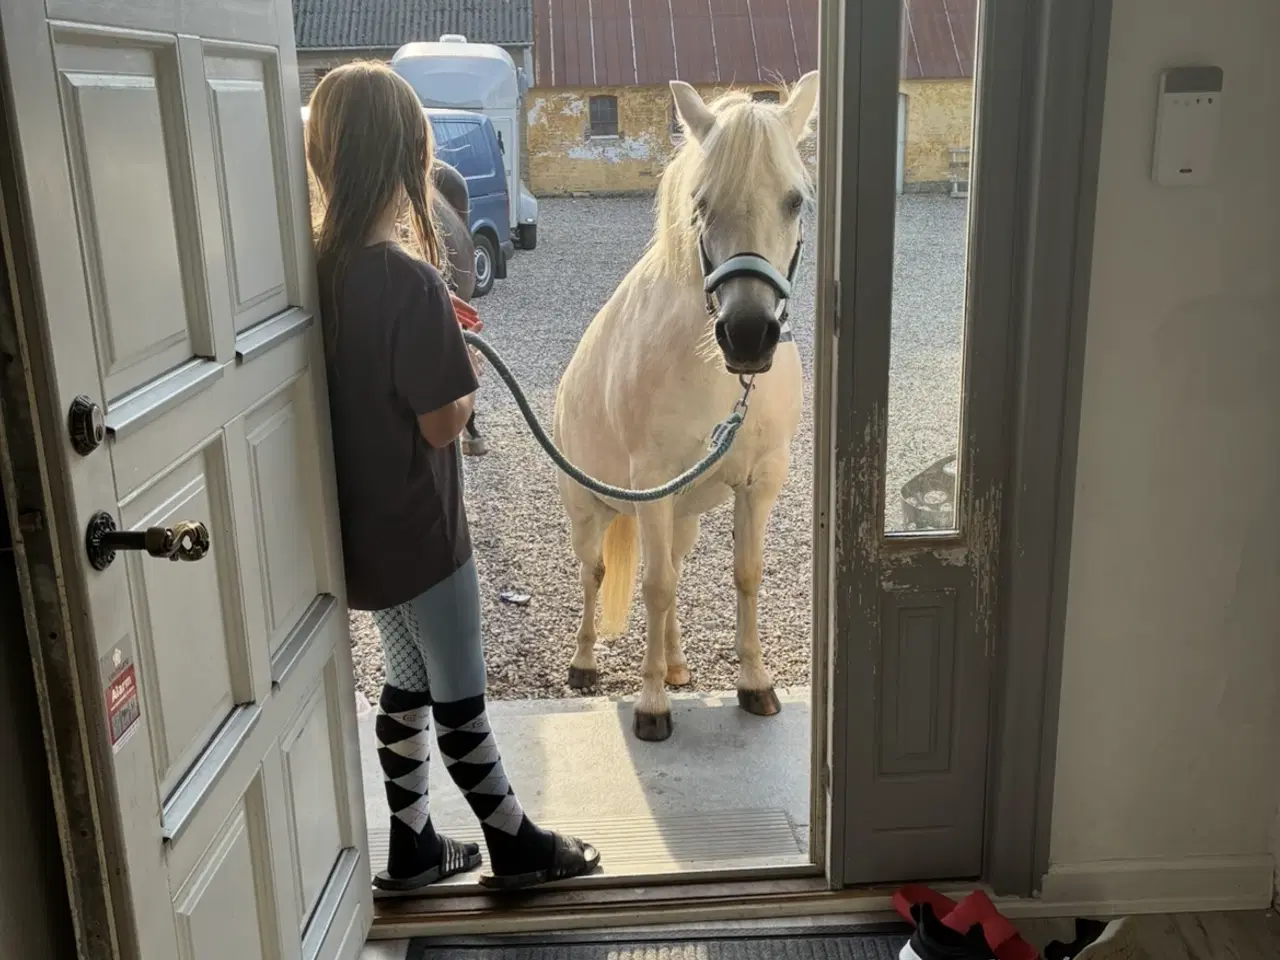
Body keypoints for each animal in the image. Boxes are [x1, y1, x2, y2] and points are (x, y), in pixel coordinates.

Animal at [552, 74, 819, 742]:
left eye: (794, 200)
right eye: (701, 202)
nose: (747, 335)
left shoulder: (760, 481)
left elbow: (742, 576)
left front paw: (754, 684)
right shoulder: (652, 483)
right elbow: (651, 587)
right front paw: (650, 706)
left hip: (683, 516)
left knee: (670, 573)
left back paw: (675, 665)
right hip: (590, 512)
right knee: (595, 575)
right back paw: (586, 665)